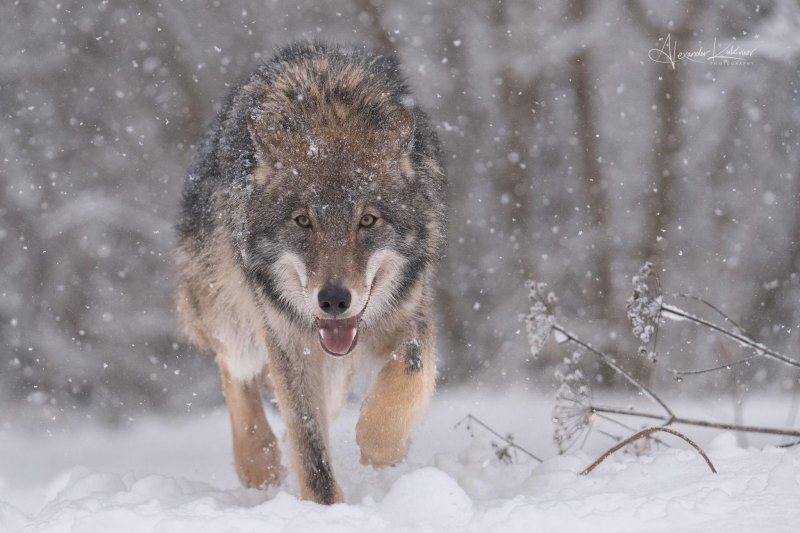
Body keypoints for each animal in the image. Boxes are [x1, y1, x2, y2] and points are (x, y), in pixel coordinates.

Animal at [175, 41, 446, 502]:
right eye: (303, 221)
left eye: (367, 220)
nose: (334, 300)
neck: (328, 112)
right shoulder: (288, 342)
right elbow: (310, 449)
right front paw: (327, 509)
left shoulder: (411, 311)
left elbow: (409, 375)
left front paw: (384, 447)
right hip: (230, 313)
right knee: (235, 369)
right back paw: (259, 462)